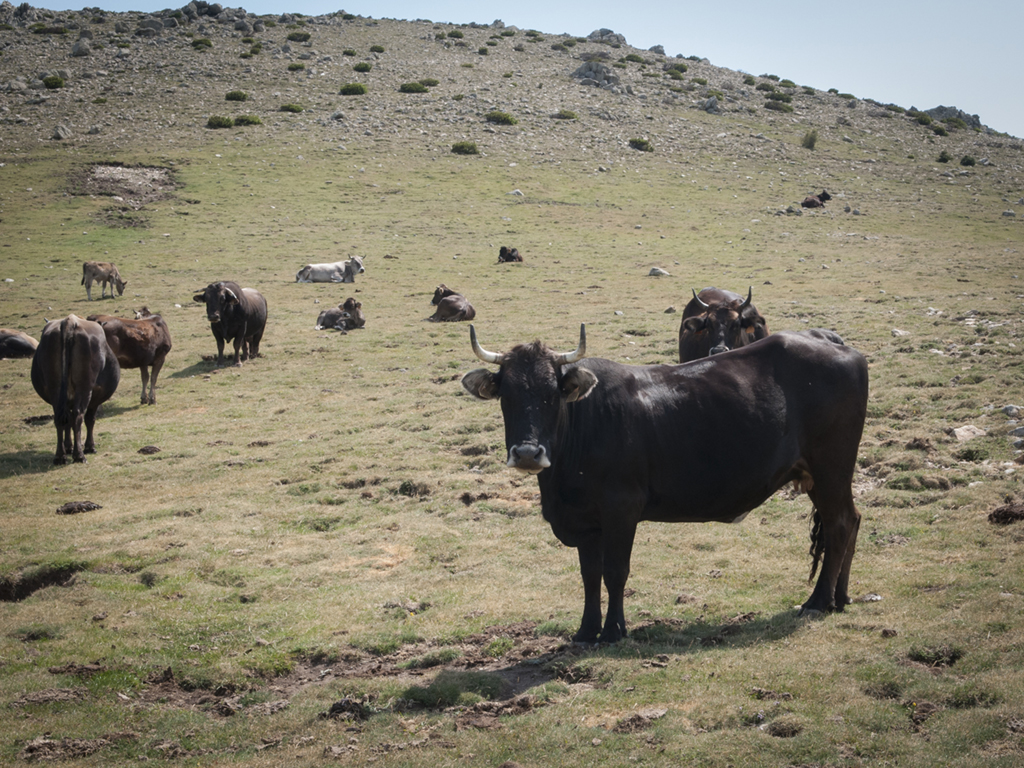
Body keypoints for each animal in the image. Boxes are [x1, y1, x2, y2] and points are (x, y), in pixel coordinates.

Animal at [31, 315, 120, 464]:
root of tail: (70, 321)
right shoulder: (94, 400)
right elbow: (89, 420)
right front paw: (89, 447)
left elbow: (68, 422)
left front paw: (68, 447)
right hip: (84, 388)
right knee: (79, 416)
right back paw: (79, 455)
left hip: (55, 388)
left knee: (60, 418)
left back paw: (60, 456)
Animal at [462, 324, 868, 643]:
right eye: (507, 395)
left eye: (552, 394)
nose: (528, 453)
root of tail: (829, 340)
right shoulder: (587, 522)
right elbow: (590, 576)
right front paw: (586, 631)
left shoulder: (621, 509)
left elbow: (615, 572)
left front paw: (614, 631)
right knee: (852, 521)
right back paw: (840, 598)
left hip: (831, 468)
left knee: (839, 525)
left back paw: (817, 602)